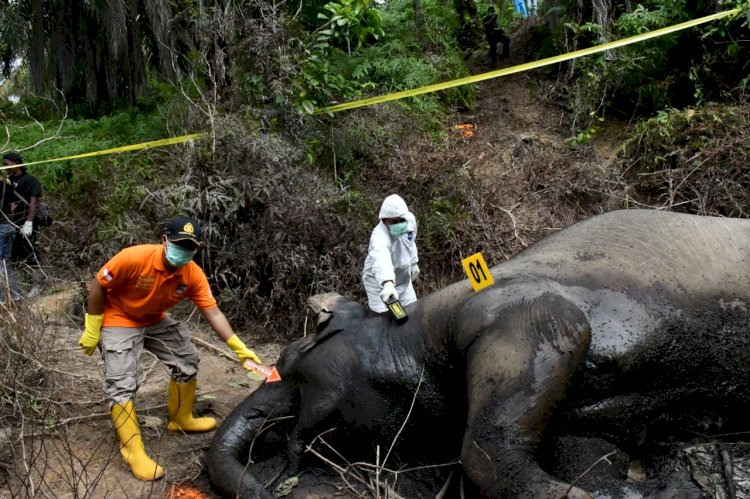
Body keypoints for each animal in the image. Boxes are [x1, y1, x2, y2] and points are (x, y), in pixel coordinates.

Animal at [206, 210, 750, 499]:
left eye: (290, 363)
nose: (270, 482)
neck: (412, 333)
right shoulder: (594, 420)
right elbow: (583, 452)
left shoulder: (526, 316)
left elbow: (483, 451)